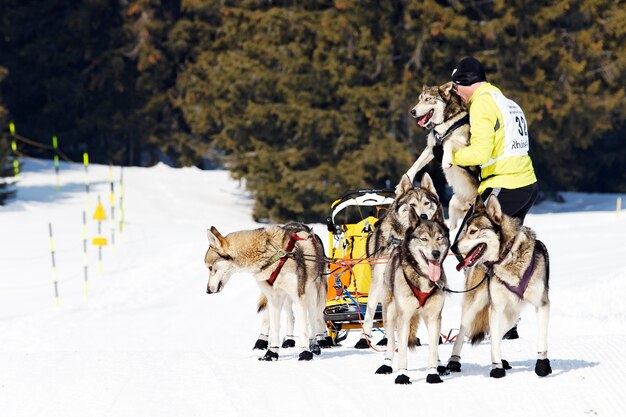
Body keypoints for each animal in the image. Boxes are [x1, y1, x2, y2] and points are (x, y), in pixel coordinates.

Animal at [205, 221, 326, 360]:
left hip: (314, 295)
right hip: (284, 299)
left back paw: (317, 343)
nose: (207, 290)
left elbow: (304, 328)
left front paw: (305, 352)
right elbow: (275, 328)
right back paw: (284, 340)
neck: (274, 255)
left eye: (210, 268)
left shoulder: (299, 296)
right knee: (289, 317)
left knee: (316, 318)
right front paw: (271, 354)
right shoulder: (274, 298)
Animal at [352, 172, 444, 348]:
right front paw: (364, 339)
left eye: (427, 203)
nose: (422, 216)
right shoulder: (380, 281)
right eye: (412, 204)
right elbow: (370, 313)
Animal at [370, 211, 448, 384]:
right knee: (391, 341)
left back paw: (440, 364)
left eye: (440, 238)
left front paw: (433, 373)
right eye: (424, 239)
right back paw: (386, 364)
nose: (436, 253)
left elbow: (433, 348)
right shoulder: (404, 317)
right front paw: (402, 374)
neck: (423, 276)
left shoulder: (435, 316)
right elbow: (402, 350)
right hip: (390, 313)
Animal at [404, 82, 478, 229]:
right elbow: (416, 165)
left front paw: (446, 161)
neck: (445, 123)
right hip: (453, 206)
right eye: (420, 99)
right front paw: (407, 178)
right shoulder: (430, 148)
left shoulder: (467, 146)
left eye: (428, 99)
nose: (412, 112)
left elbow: (449, 141)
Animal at [444, 195, 552, 376]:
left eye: (472, 231)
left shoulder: (542, 305)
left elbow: (542, 340)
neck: (507, 256)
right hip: (474, 308)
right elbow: (494, 342)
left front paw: (542, 365)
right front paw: (497, 369)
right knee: (462, 334)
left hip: (511, 315)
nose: (452, 247)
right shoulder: (496, 308)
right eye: (464, 230)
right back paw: (453, 362)